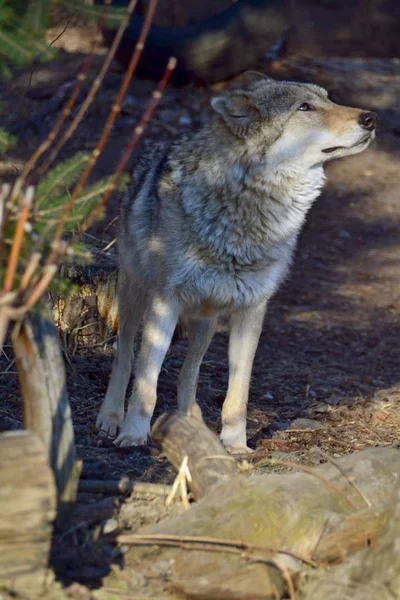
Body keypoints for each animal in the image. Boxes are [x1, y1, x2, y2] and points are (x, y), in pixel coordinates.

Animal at [95, 76, 376, 450]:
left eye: (328, 100)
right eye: (304, 108)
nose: (370, 118)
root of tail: (154, 148)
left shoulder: (252, 310)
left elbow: (238, 393)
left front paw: (235, 445)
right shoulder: (164, 302)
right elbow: (146, 382)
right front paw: (134, 433)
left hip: (207, 320)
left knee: (189, 371)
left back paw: (190, 425)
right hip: (134, 298)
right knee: (125, 356)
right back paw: (111, 418)